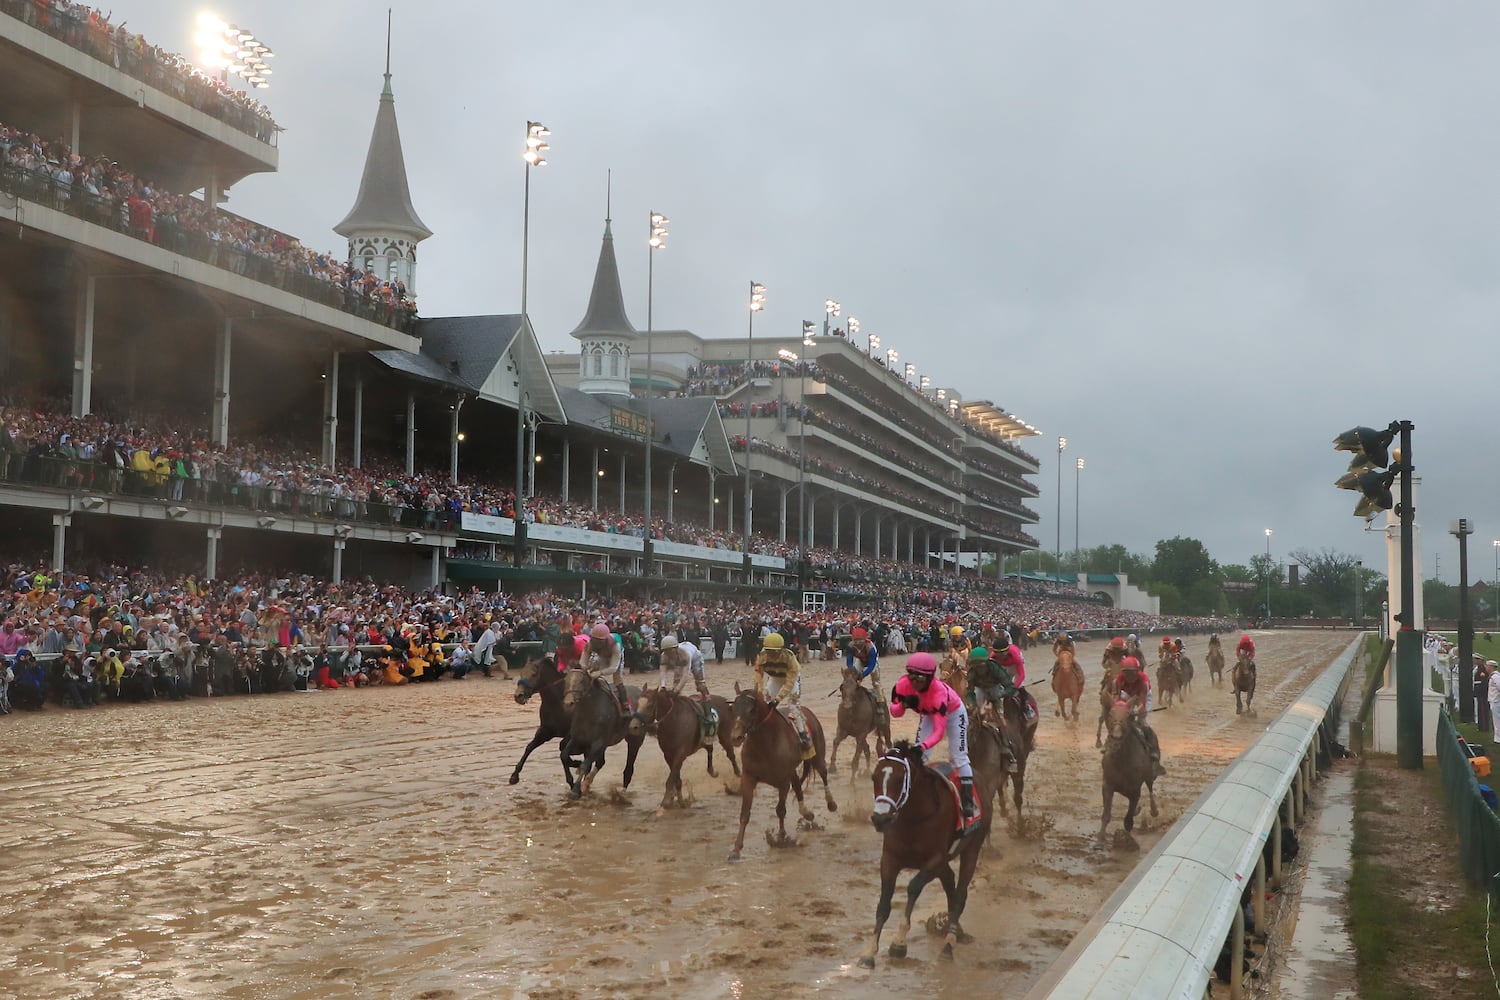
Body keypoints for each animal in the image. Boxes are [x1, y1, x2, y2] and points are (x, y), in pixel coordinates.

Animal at [504, 656, 573, 791]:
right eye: (521, 673)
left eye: (534, 674)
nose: (518, 696)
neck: (558, 703)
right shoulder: (545, 731)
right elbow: (529, 747)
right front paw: (514, 776)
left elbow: (564, 753)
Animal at [723, 689, 834, 863]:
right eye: (734, 709)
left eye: (751, 710)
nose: (736, 737)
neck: (765, 744)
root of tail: (808, 712)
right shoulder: (749, 778)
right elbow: (745, 814)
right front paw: (736, 849)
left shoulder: (783, 781)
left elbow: (780, 810)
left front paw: (781, 838)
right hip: (793, 771)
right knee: (798, 785)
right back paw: (807, 813)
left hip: (817, 757)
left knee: (823, 774)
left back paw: (831, 803)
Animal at [864, 743, 990, 971]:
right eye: (874, 777)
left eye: (899, 779)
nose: (880, 819)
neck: (914, 818)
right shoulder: (889, 859)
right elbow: (884, 903)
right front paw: (869, 952)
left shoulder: (935, 860)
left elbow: (913, 887)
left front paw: (898, 942)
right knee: (951, 885)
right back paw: (957, 932)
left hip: (972, 849)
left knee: (960, 894)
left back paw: (948, 945)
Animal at [1104, 704, 1158, 839]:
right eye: (1110, 715)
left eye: (1127, 717)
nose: (1115, 739)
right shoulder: (1107, 785)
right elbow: (1106, 815)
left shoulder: (1135, 792)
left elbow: (1128, 821)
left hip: (1149, 775)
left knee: (1150, 789)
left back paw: (1154, 810)